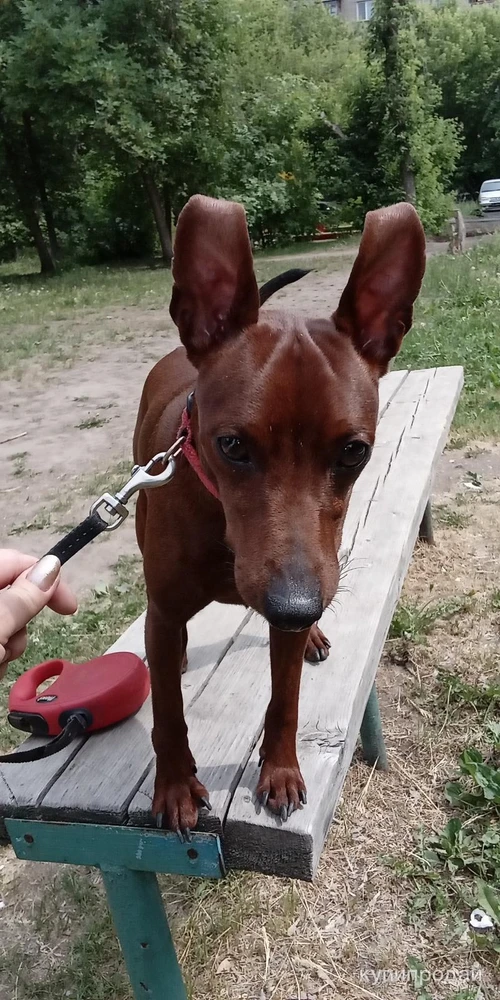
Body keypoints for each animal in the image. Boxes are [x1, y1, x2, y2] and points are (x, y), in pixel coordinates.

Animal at [133, 195, 426, 836]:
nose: (296, 607)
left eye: (354, 451)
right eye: (232, 446)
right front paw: (175, 786)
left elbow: (285, 701)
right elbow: (168, 712)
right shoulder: (164, 611)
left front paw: (281, 770)